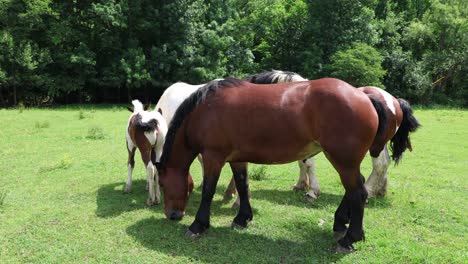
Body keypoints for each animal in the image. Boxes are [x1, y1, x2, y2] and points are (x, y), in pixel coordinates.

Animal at [158, 78, 398, 252]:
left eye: (161, 183)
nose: (172, 215)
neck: (206, 110)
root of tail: (364, 95)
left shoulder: (213, 157)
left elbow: (208, 190)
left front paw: (198, 225)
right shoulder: (237, 159)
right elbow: (242, 185)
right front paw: (242, 218)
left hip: (343, 161)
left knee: (358, 193)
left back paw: (349, 239)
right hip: (347, 162)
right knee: (356, 189)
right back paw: (341, 224)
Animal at [245, 70, 420, 198]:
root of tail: (394, 101)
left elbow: (308, 164)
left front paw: (312, 191)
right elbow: (302, 163)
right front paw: (301, 185)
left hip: (375, 146)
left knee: (380, 164)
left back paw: (369, 191)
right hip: (378, 143)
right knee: (385, 164)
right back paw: (380, 190)